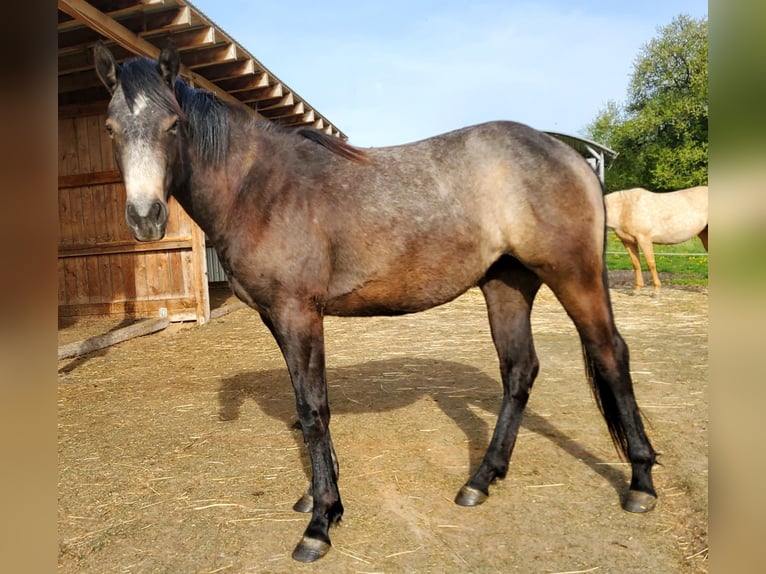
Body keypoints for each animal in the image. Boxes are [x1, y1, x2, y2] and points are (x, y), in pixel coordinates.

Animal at [96, 42, 660, 564]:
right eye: (111, 129)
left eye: (172, 125)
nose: (145, 217)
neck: (259, 187)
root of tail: (571, 156)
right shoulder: (279, 318)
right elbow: (307, 407)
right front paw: (318, 499)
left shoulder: (299, 313)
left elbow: (313, 409)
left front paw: (321, 523)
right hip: (506, 285)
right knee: (519, 370)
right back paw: (481, 479)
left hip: (573, 277)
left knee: (611, 355)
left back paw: (640, 483)